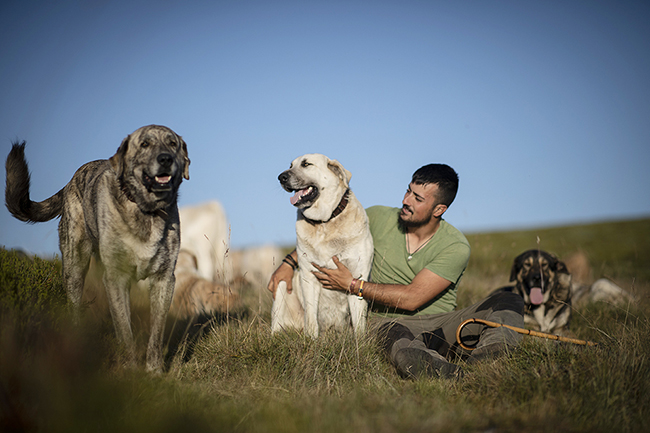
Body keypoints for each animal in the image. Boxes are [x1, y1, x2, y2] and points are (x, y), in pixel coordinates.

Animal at [5, 125, 189, 372]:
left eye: (172, 144)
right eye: (145, 144)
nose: (165, 159)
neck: (145, 210)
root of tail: (71, 181)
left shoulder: (164, 279)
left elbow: (156, 333)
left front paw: (154, 371)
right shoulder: (117, 277)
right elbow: (124, 329)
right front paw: (131, 370)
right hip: (74, 268)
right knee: (75, 307)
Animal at [268, 154, 370, 336]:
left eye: (306, 164)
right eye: (291, 165)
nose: (281, 177)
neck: (325, 222)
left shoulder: (358, 276)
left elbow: (359, 323)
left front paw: (360, 343)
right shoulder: (308, 275)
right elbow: (311, 317)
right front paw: (311, 339)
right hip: (281, 286)